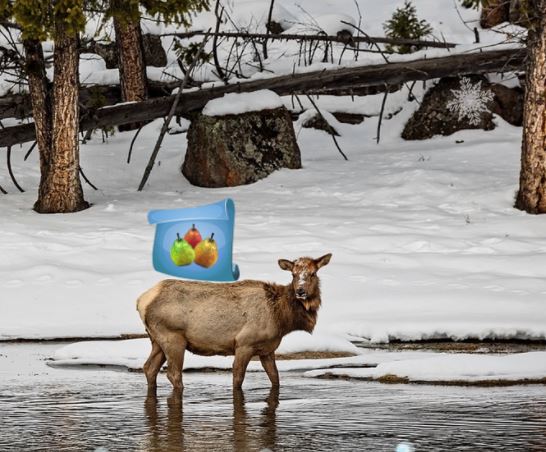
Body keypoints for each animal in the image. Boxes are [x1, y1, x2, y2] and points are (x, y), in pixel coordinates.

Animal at [136, 252, 332, 390]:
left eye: (313, 273)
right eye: (293, 274)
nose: (300, 291)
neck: (282, 319)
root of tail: (141, 301)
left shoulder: (267, 349)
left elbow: (275, 378)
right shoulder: (244, 343)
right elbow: (237, 378)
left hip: (156, 340)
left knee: (149, 368)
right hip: (173, 337)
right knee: (173, 374)